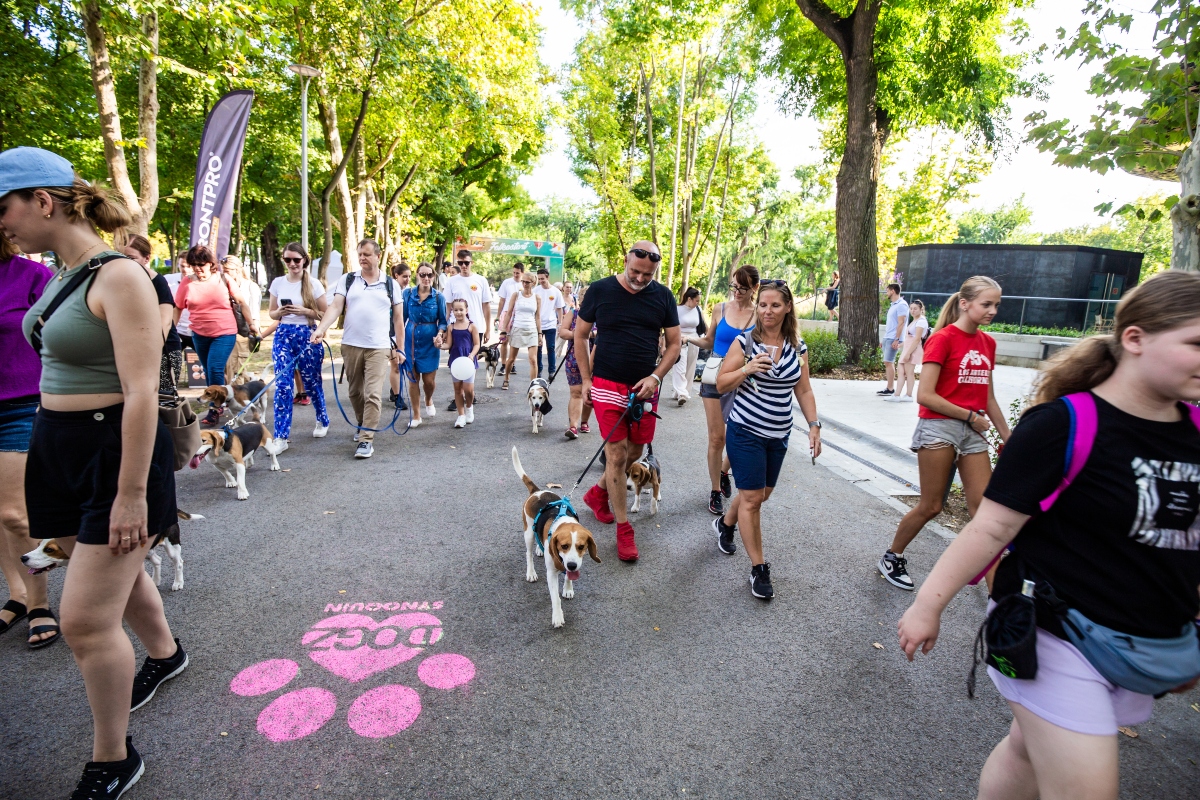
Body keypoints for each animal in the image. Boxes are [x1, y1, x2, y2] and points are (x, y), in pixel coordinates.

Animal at [22, 510, 204, 592]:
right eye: (38, 544)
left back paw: (178, 582)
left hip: (171, 545)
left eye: (49, 549)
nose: (23, 558)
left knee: (178, 563)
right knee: (157, 561)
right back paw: (155, 581)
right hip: (146, 551)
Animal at [511, 448, 600, 628]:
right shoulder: (551, 573)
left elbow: (568, 578)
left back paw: (540, 550)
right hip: (528, 533)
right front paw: (558, 616)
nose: (572, 565)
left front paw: (568, 589)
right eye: (564, 546)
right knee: (528, 554)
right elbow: (555, 598)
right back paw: (531, 572)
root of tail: (537, 491)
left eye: (581, 547)